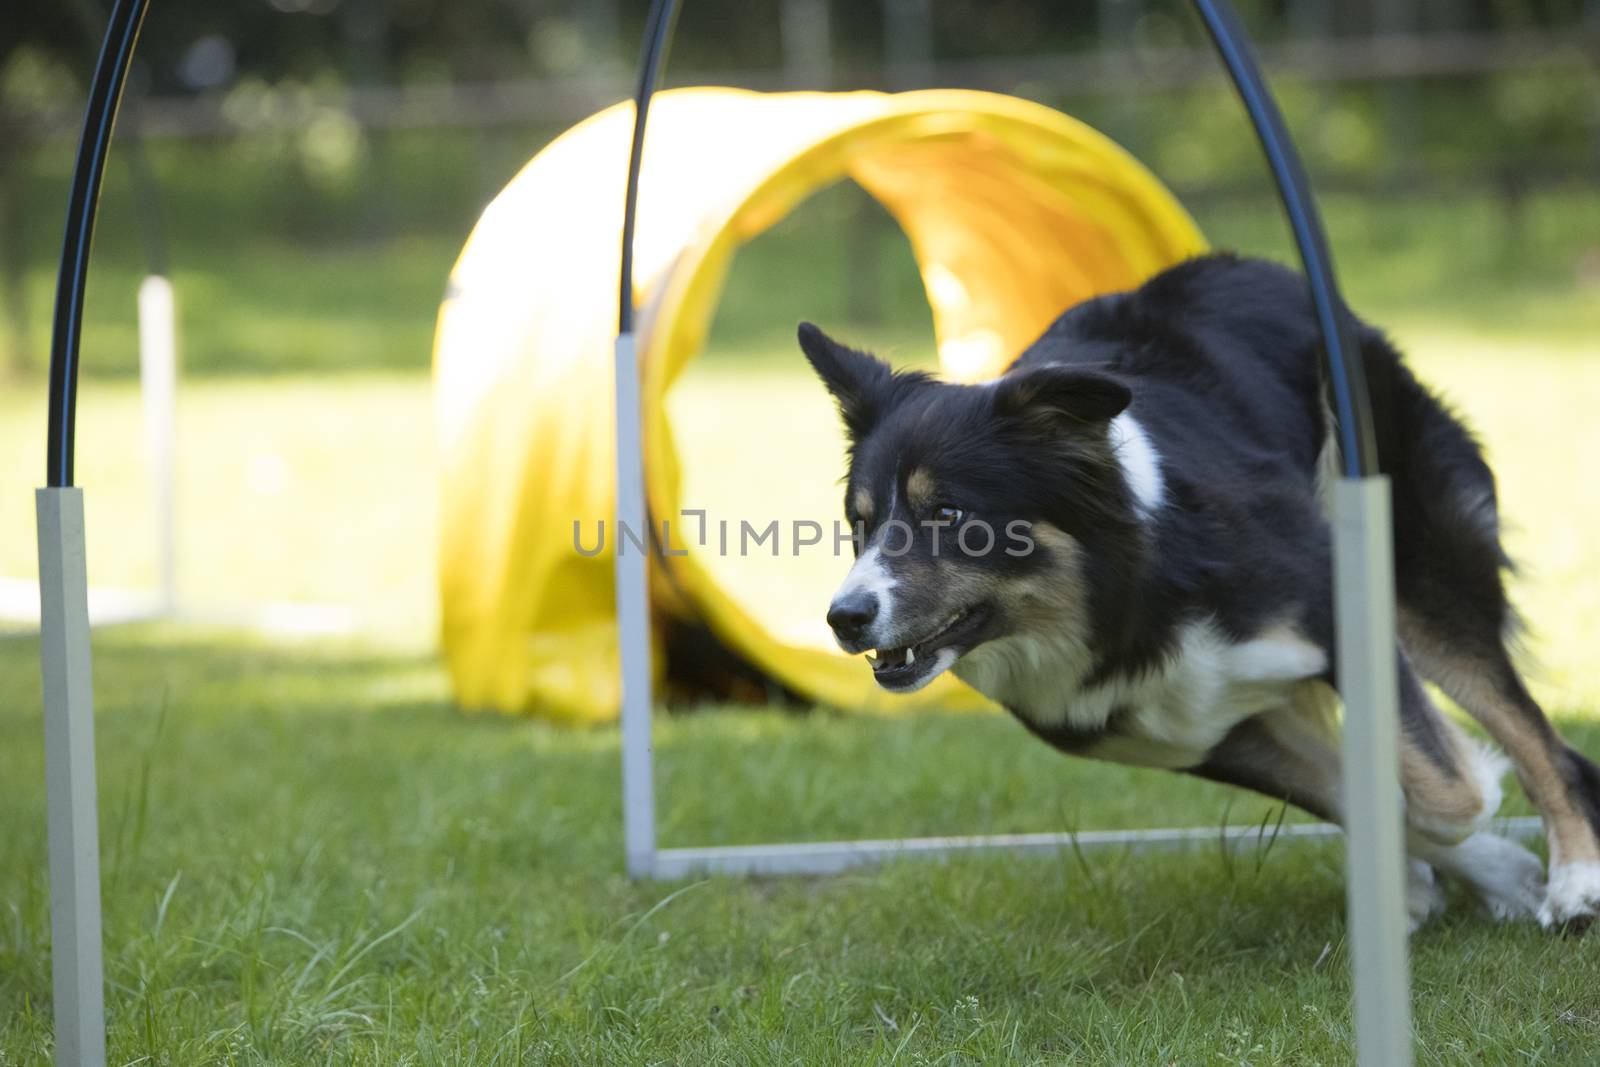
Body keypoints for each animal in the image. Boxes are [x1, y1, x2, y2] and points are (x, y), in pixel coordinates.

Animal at [806, 254, 1600, 927]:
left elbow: (1444, 796)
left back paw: (1576, 882)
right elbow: (1368, 794)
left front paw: (1486, 858)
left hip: (1417, 559)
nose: (844, 619)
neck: (1129, 597)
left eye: (949, 516)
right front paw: (1471, 877)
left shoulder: (1327, 601)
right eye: (859, 522)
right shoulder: (1194, 728)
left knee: (1537, 733)